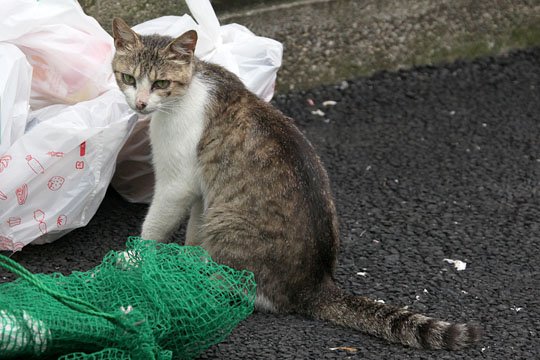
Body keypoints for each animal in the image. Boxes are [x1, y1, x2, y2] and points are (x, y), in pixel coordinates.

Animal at [110, 18, 480, 350]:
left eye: (161, 83)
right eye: (128, 78)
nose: (139, 104)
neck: (189, 88)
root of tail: (316, 284)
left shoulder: (177, 182)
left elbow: (156, 224)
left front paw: (134, 256)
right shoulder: (204, 188)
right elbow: (194, 228)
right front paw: (184, 254)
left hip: (229, 222)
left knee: (248, 290)